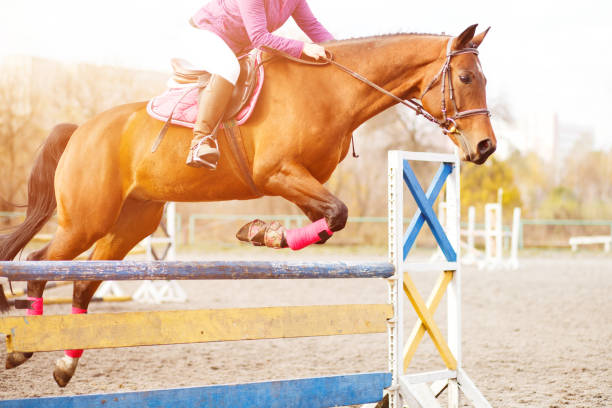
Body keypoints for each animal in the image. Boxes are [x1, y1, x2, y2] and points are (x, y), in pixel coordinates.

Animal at [0, 23, 494, 388]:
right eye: (466, 78)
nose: (485, 147)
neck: (332, 90)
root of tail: (81, 129)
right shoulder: (278, 173)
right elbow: (337, 213)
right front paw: (261, 231)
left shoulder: (303, 185)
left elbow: (329, 220)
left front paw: (261, 232)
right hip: (85, 220)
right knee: (40, 263)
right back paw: (24, 346)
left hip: (131, 222)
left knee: (83, 283)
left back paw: (64, 364)